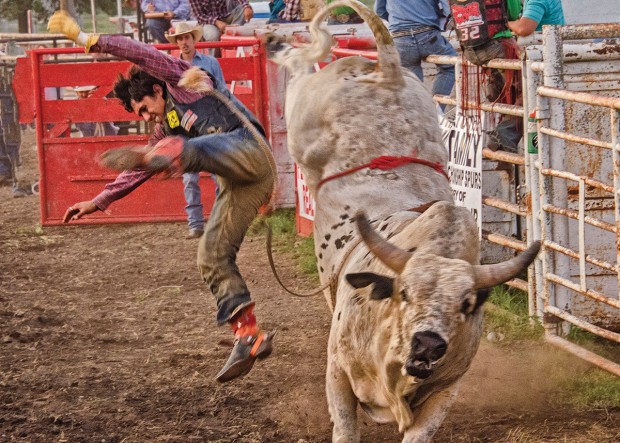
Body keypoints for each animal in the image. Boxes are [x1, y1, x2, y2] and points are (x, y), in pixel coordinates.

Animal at [266, 1, 536, 442]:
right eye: (404, 293)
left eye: (465, 304)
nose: (428, 345)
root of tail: (389, 72)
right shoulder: (337, 370)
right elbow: (345, 426)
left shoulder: (445, 391)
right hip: (302, 116)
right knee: (300, 65)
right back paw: (278, 44)